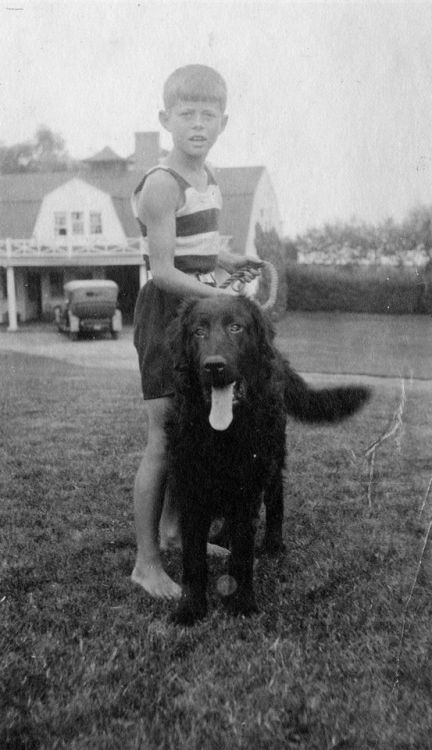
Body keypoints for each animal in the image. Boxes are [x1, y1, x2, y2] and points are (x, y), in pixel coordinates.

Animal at [167, 296, 370, 624]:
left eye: (236, 327)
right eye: (198, 331)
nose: (214, 366)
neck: (223, 433)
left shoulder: (249, 488)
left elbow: (242, 555)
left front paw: (241, 603)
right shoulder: (192, 491)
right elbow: (194, 559)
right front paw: (190, 608)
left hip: (272, 463)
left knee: (276, 502)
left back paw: (273, 544)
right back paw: (222, 537)